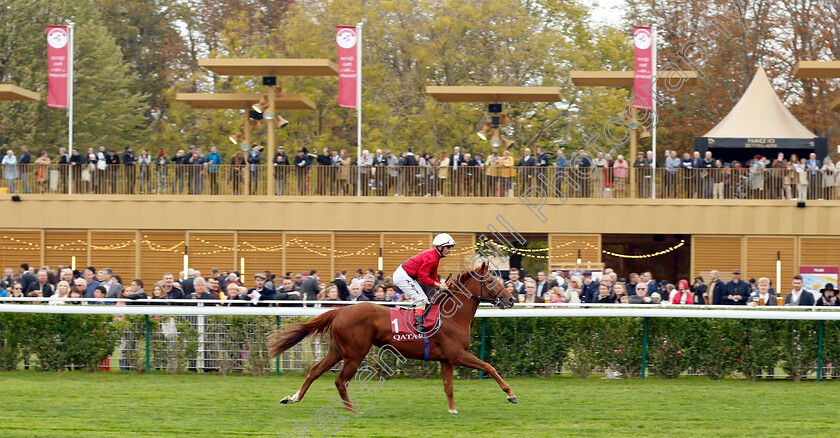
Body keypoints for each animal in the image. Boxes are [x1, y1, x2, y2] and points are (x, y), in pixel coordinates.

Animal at [270, 264, 520, 414]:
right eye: (491, 282)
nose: (511, 300)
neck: (451, 317)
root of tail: (339, 311)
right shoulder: (457, 354)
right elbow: (489, 366)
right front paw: (511, 394)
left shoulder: (446, 360)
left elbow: (449, 387)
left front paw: (452, 410)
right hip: (355, 354)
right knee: (340, 381)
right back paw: (352, 410)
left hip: (337, 350)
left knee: (314, 371)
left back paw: (292, 398)